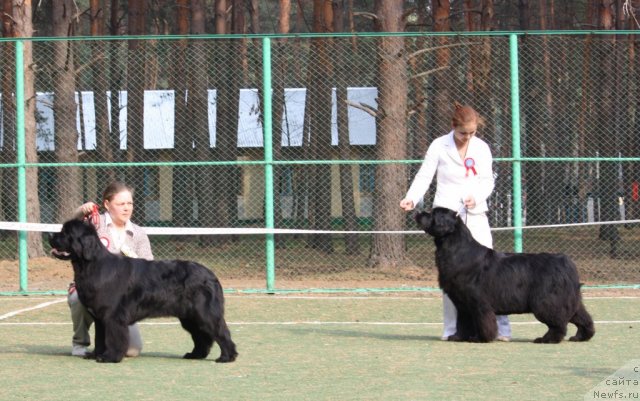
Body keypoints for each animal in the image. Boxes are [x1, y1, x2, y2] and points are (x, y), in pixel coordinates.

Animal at [48, 219, 238, 362]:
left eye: (65, 232)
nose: (50, 234)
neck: (91, 265)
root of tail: (212, 275)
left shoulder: (112, 316)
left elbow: (113, 337)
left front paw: (110, 357)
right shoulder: (100, 318)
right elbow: (100, 338)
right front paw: (96, 355)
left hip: (204, 313)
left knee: (220, 331)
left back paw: (227, 357)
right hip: (190, 317)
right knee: (202, 337)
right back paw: (195, 355)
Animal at [416, 208, 596, 342]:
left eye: (433, 214)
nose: (418, 212)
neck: (456, 250)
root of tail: (566, 261)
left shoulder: (478, 301)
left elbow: (482, 321)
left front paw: (481, 338)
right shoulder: (462, 302)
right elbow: (463, 322)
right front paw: (458, 337)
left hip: (546, 301)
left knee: (558, 323)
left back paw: (546, 339)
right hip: (569, 299)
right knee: (582, 317)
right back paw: (581, 336)